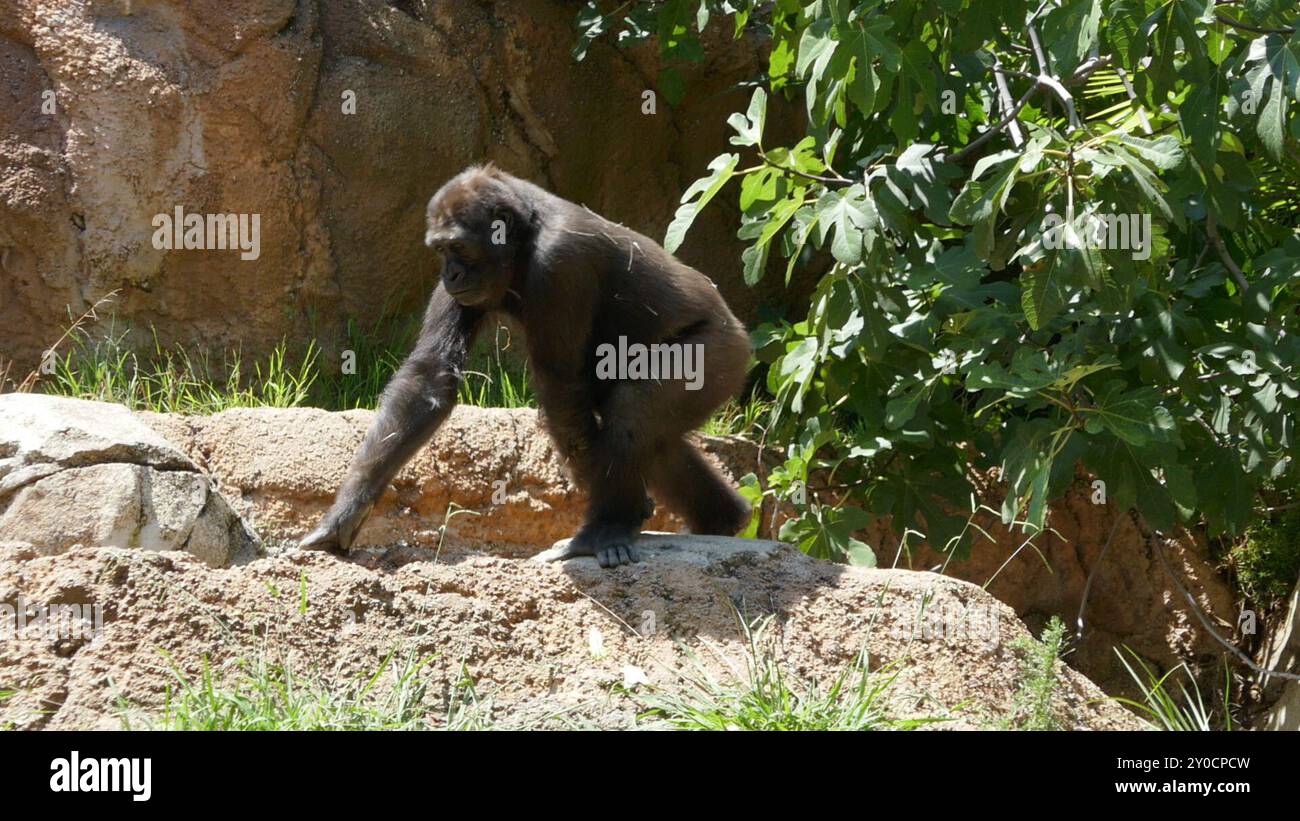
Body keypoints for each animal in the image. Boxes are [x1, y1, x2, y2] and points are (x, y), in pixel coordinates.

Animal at [299, 165, 752, 567]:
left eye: (458, 248)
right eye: (441, 250)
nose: (450, 274)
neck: (524, 235)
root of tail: (741, 330)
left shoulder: (560, 263)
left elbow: (561, 391)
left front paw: (610, 507)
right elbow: (430, 376)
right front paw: (345, 515)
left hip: (721, 352)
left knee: (632, 412)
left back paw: (606, 528)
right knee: (655, 437)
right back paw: (722, 519)